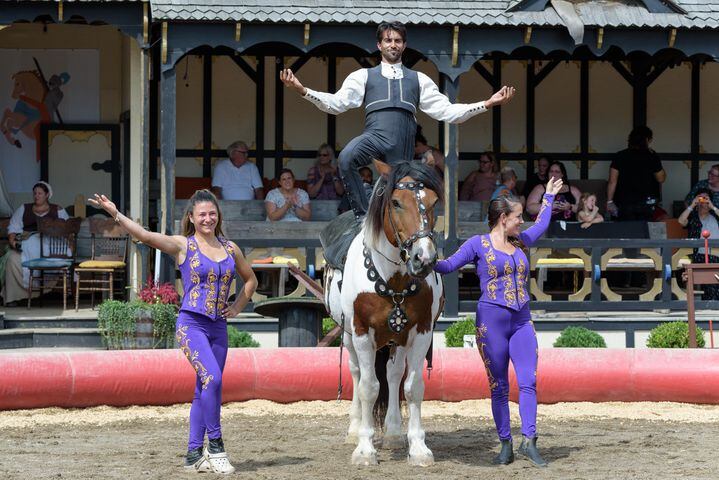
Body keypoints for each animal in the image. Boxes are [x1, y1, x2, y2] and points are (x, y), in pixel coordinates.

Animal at [324, 160, 444, 464]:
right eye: (396, 202)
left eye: (433, 201)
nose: (424, 258)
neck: (394, 280)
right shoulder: (362, 333)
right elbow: (368, 387)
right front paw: (365, 448)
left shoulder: (421, 332)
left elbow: (412, 387)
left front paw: (418, 447)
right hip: (349, 336)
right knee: (357, 374)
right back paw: (355, 429)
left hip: (396, 339)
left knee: (393, 374)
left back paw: (392, 432)